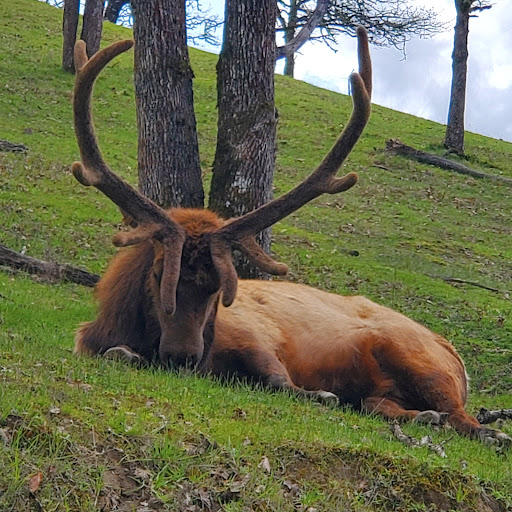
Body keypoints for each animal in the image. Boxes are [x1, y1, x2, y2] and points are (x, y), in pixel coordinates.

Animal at [72, 30, 512, 446]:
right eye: (158, 271)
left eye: (220, 290)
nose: (183, 356)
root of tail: (456, 357)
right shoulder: (93, 342)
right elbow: (117, 354)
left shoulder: (255, 336)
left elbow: (278, 380)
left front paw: (320, 395)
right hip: (390, 385)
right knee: (383, 403)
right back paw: (422, 417)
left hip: (416, 357)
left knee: (462, 416)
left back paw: (487, 433)